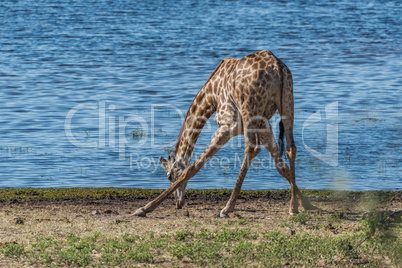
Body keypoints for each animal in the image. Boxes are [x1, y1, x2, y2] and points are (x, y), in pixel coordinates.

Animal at [133, 49, 318, 218]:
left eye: (170, 176)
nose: (179, 203)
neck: (211, 96)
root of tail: (278, 68)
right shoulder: (264, 124)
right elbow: (281, 166)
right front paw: (306, 204)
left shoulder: (229, 124)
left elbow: (194, 165)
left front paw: (144, 208)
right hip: (287, 102)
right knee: (291, 148)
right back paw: (292, 207)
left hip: (249, 109)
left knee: (252, 148)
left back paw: (226, 208)